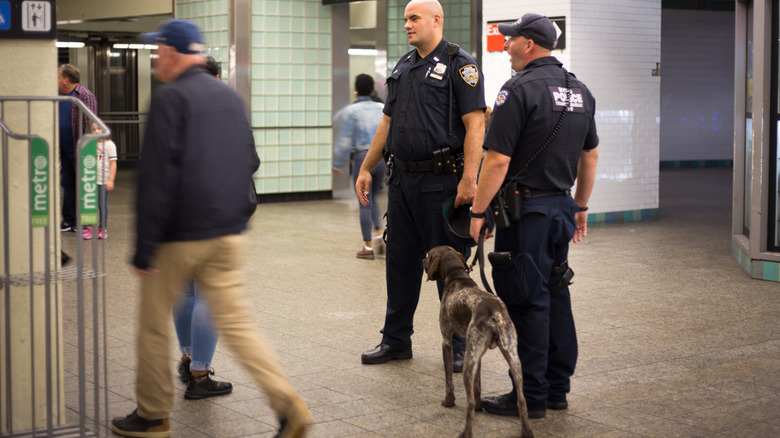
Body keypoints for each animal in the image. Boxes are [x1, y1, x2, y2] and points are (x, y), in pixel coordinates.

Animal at [424, 246, 532, 438]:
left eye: (428, 255)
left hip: (468, 363)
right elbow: (478, 386)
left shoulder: (446, 341)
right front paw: (480, 407)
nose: (422, 261)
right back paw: (526, 431)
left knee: (470, 402)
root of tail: (494, 312)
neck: (457, 276)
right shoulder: (477, 353)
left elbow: (449, 379)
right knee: (521, 399)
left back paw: (465, 433)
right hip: (512, 358)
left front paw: (449, 401)